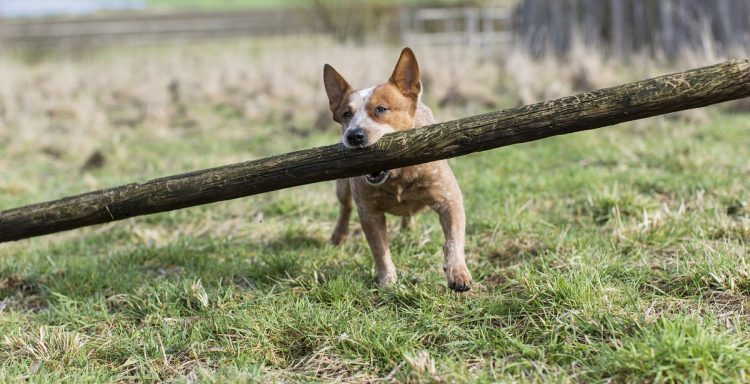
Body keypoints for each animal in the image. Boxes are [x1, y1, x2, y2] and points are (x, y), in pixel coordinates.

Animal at [324, 47, 476, 292]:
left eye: (381, 109)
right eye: (346, 114)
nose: (354, 135)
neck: (397, 176)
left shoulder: (449, 199)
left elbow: (453, 240)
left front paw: (458, 272)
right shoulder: (370, 213)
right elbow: (380, 251)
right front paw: (388, 282)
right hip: (342, 187)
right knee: (345, 207)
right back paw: (339, 235)